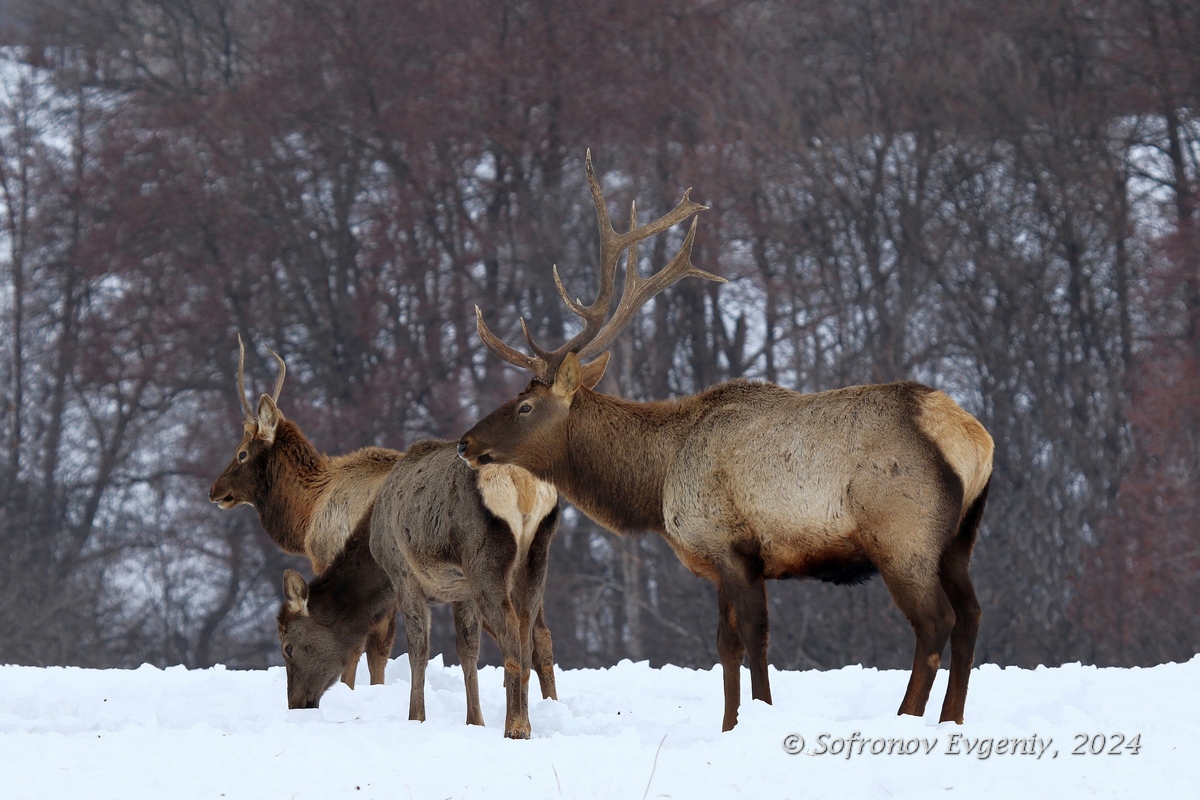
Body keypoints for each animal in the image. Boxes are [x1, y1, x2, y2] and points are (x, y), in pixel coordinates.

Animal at [277, 438, 561, 738]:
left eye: (288, 647)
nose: (295, 703)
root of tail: (521, 480)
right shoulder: (462, 590)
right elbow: (467, 651)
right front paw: (475, 721)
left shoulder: (403, 575)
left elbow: (418, 650)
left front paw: (416, 717)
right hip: (536, 555)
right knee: (529, 632)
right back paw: (529, 720)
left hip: (482, 558)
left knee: (510, 631)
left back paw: (515, 727)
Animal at [458, 149, 993, 734]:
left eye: (525, 407)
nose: (465, 443)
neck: (656, 482)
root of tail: (970, 436)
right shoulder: (717, 561)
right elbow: (725, 645)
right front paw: (730, 723)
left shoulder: (731, 544)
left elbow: (755, 640)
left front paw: (754, 717)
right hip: (960, 539)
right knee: (971, 616)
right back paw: (952, 720)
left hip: (903, 536)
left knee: (935, 623)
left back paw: (907, 716)